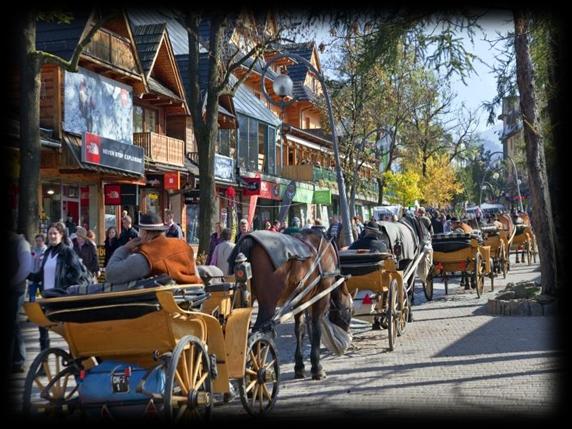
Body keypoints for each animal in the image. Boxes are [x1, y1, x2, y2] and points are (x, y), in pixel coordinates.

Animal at [228, 229, 354, 380]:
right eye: (349, 309)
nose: (347, 335)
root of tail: (249, 239)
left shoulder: (300, 300)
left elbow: (299, 330)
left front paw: (299, 366)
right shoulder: (321, 296)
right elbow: (316, 328)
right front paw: (316, 367)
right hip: (268, 305)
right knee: (258, 334)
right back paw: (257, 371)